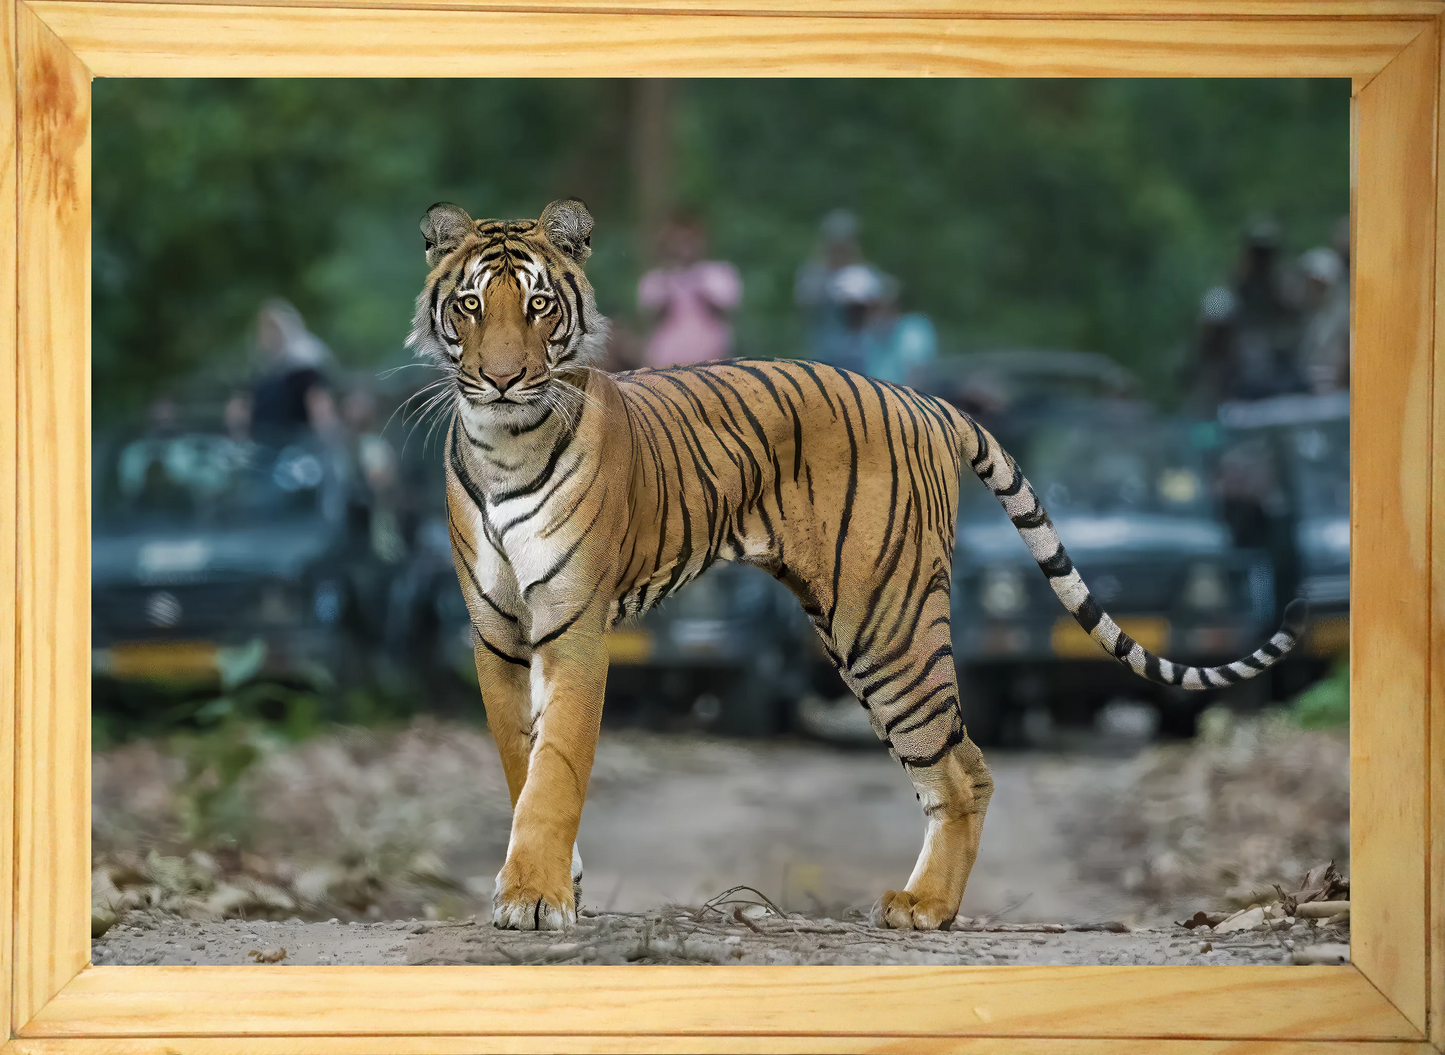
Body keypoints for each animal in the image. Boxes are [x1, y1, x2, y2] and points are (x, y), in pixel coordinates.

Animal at [410, 197, 1307, 932]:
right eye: (469, 305)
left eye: (538, 304)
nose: (501, 379)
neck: (502, 443)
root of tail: (927, 400)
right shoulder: (496, 633)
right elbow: (519, 760)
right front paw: (551, 881)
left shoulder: (573, 625)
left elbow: (555, 766)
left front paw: (535, 896)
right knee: (957, 766)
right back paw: (925, 902)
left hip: (884, 624)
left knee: (961, 771)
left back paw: (923, 907)